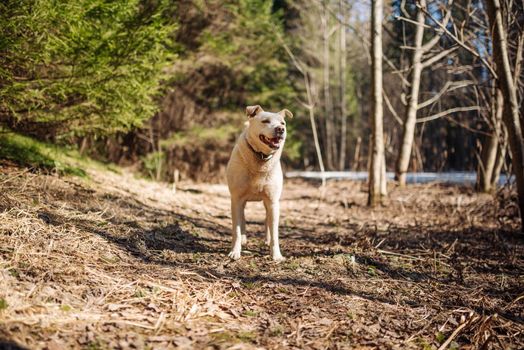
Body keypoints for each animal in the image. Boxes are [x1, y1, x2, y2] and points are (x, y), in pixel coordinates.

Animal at [224, 105, 292, 262]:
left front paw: (276, 255)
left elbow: (274, 232)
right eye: (265, 121)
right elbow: (236, 229)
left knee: (267, 221)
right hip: (240, 203)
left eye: (283, 123)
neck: (261, 157)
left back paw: (267, 240)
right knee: (242, 219)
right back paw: (243, 239)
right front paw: (235, 252)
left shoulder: (272, 201)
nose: (280, 129)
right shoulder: (236, 199)